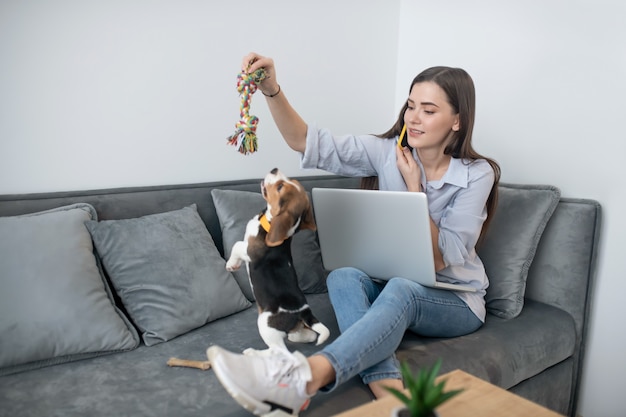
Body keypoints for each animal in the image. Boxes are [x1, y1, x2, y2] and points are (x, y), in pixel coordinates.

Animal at [225, 167, 332, 352]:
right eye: (290, 181)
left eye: (280, 187)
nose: (274, 169)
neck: (268, 222)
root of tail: (303, 311)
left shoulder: (250, 251)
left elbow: (237, 245)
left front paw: (231, 265)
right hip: (294, 327)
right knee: (308, 335)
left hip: (265, 323)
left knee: (279, 351)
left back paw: (252, 353)